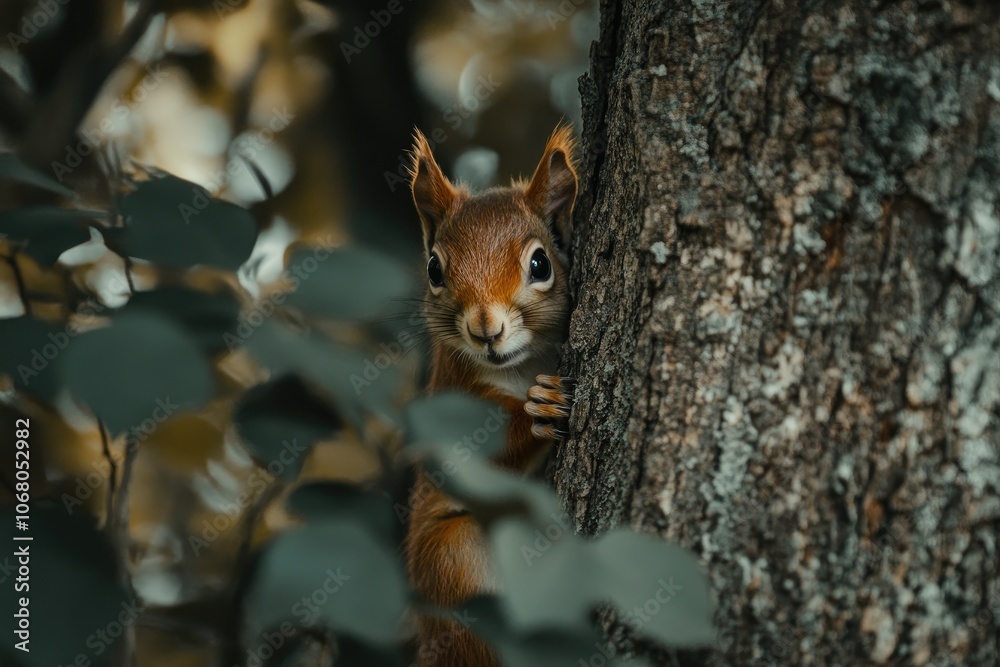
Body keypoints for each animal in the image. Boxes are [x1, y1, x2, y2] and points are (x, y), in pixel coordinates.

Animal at [404, 125, 578, 666]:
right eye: (434, 269)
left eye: (540, 263)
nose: (487, 331)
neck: (523, 367)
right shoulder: (455, 395)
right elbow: (482, 455)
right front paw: (542, 411)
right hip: (453, 563)